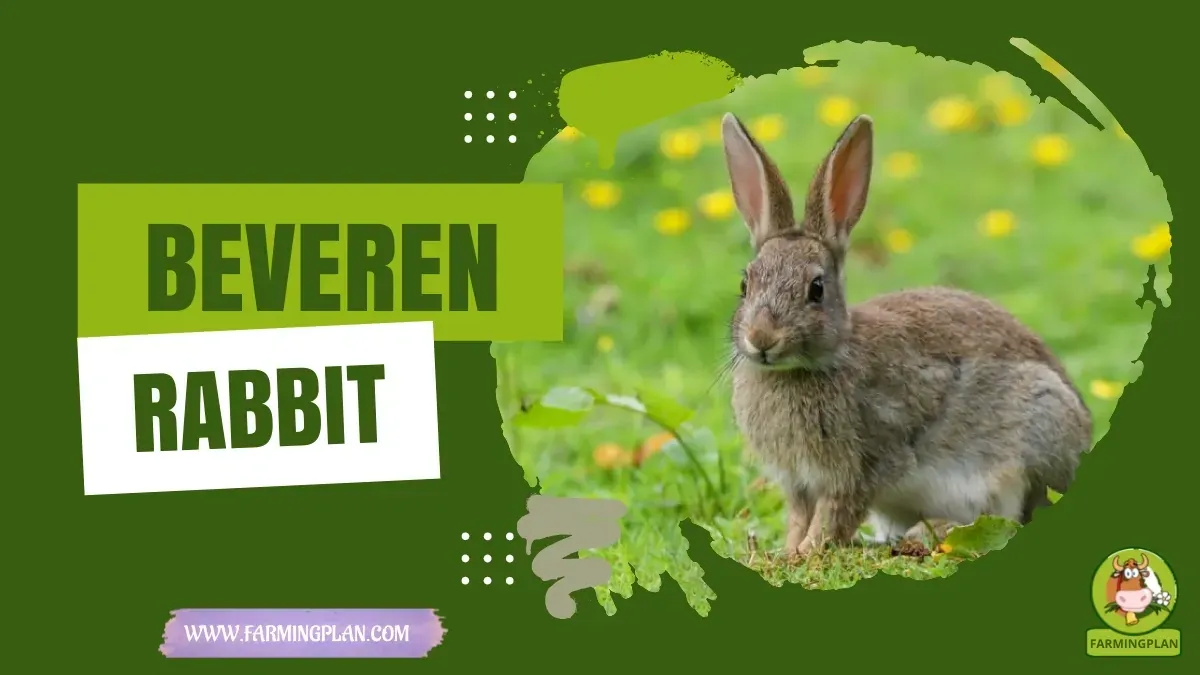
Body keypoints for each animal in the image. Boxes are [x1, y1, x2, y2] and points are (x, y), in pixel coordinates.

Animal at [719, 111, 1093, 557]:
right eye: (745, 284)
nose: (761, 339)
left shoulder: (860, 468)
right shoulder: (798, 483)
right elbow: (799, 518)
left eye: (816, 289)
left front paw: (806, 554)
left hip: (1037, 429)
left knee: (1009, 515)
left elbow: (831, 518)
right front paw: (788, 553)